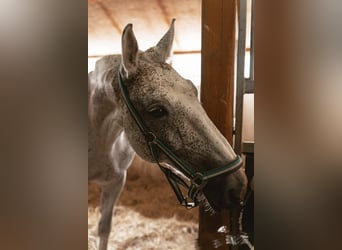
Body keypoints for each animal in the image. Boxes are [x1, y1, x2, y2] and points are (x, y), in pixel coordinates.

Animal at [88, 20, 247, 250]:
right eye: (156, 111)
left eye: (194, 91)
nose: (238, 186)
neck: (101, 139)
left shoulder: (116, 182)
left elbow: (104, 228)